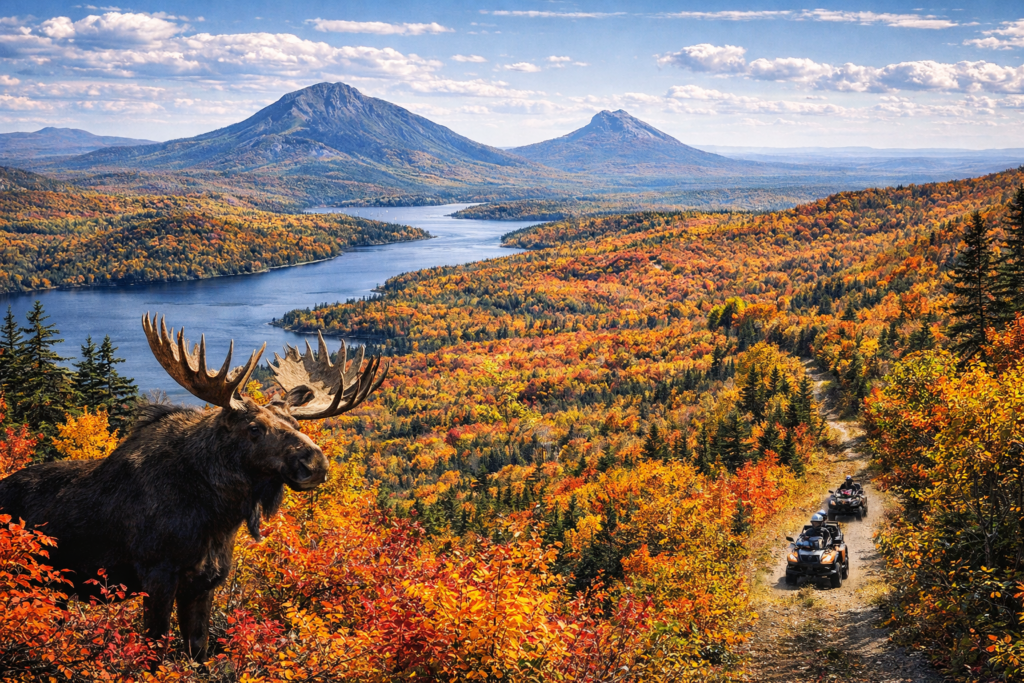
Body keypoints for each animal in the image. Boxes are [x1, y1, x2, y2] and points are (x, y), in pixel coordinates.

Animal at [0, 313, 387, 658]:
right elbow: (156, 650)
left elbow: (197, 649)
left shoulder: (205, 583)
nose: (315, 463)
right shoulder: (156, 575)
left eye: (295, 422)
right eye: (254, 428)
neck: (217, 517)